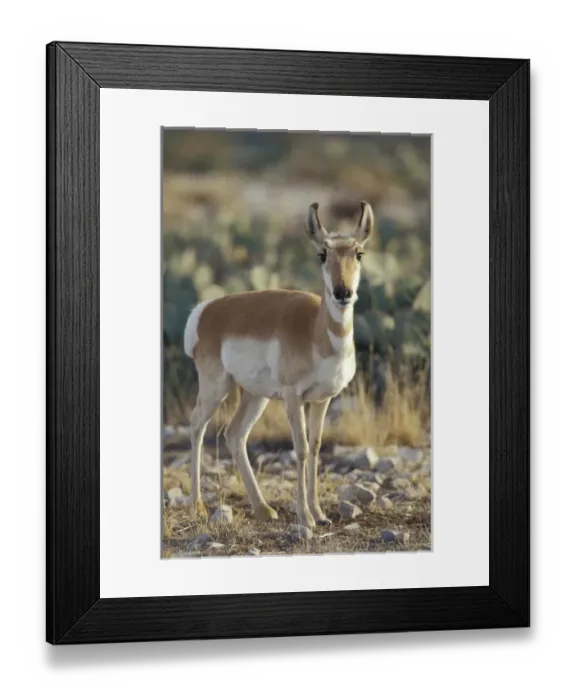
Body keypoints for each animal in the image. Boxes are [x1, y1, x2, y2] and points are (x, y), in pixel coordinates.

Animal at [183, 200, 374, 529]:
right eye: (322, 254)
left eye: (358, 253)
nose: (342, 293)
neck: (316, 331)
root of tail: (206, 309)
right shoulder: (293, 397)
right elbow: (301, 449)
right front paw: (305, 517)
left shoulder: (322, 400)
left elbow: (317, 446)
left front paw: (320, 513)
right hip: (216, 387)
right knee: (197, 426)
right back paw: (198, 507)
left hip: (254, 396)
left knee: (234, 435)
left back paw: (263, 509)